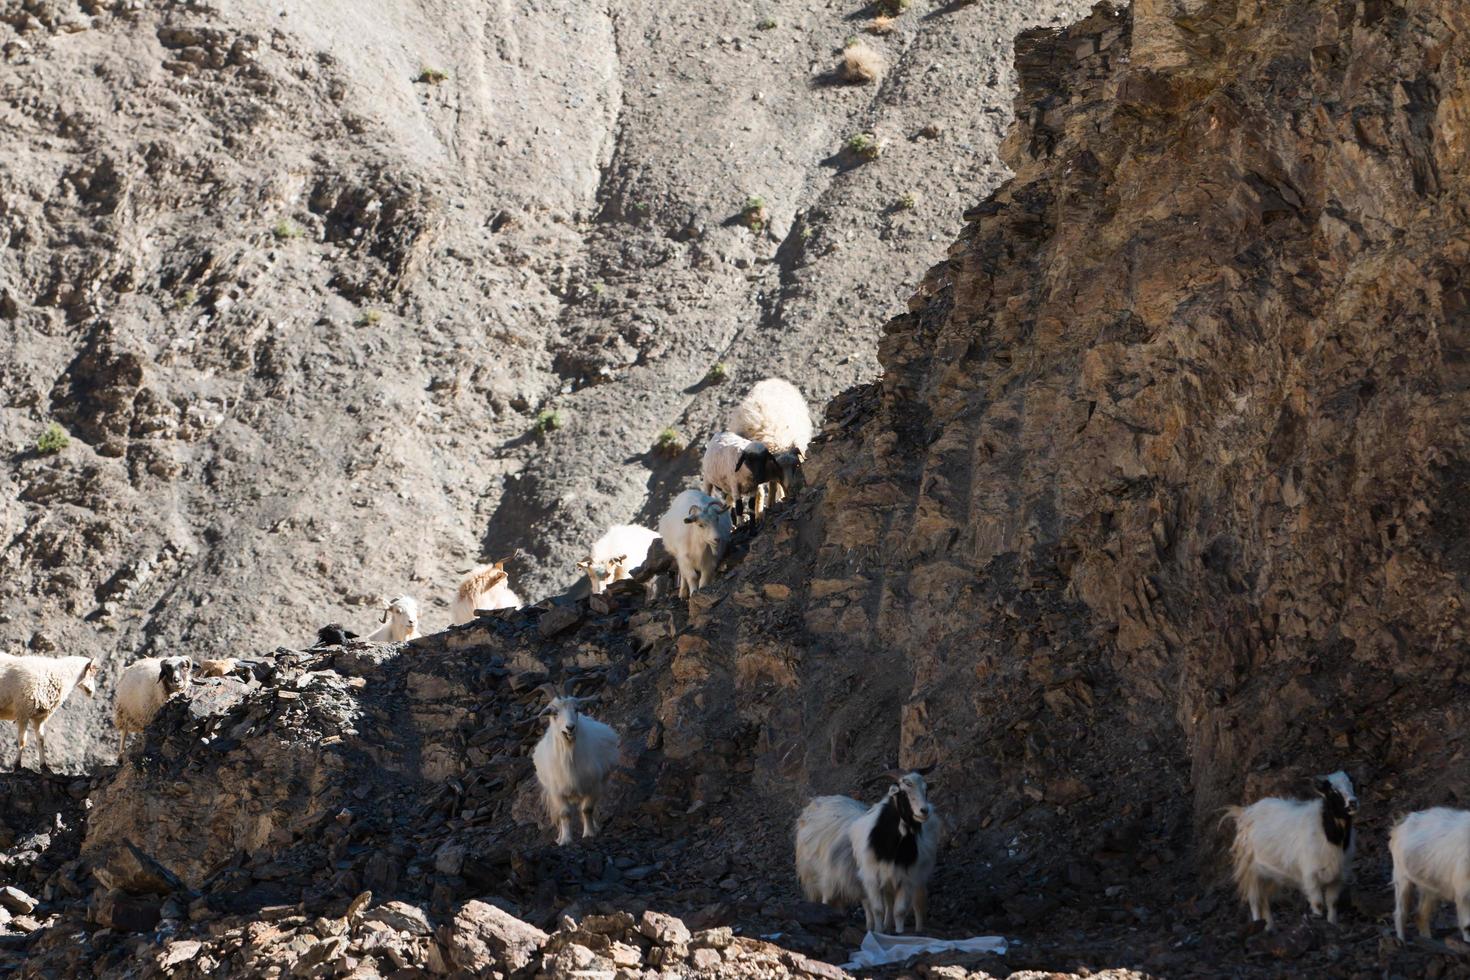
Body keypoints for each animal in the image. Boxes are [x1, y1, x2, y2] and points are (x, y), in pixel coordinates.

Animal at [532, 690, 617, 846]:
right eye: (554, 712)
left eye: (576, 709)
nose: (570, 727)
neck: (569, 754)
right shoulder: (557, 793)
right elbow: (564, 814)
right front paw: (565, 840)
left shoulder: (593, 786)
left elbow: (587, 809)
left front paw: (589, 833)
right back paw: (559, 837)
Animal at [726, 379, 817, 514]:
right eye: (778, 468)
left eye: (796, 466)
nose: (791, 489)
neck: (779, 443)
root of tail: (773, 380)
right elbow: (762, 490)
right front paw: (762, 511)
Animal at [793, 764, 940, 934]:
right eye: (903, 791)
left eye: (926, 789)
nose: (924, 811)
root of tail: (818, 801)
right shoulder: (871, 878)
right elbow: (877, 909)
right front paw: (877, 932)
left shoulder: (905, 878)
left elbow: (899, 910)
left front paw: (898, 933)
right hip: (824, 874)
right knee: (830, 898)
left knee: (911, 904)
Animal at [1223, 775, 1358, 928]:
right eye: (1332, 790)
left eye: (1352, 784)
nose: (1353, 802)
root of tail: (1246, 811)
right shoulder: (1310, 877)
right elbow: (1318, 905)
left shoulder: (1338, 877)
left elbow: (1333, 904)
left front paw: (1332, 925)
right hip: (1251, 870)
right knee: (1255, 901)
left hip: (1267, 873)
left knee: (1264, 900)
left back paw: (1269, 928)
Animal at [1387, 805, 1470, 940]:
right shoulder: (1464, 893)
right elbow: (1467, 925)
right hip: (1401, 877)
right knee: (1400, 913)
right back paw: (1401, 940)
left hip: (1429, 886)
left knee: (1421, 914)